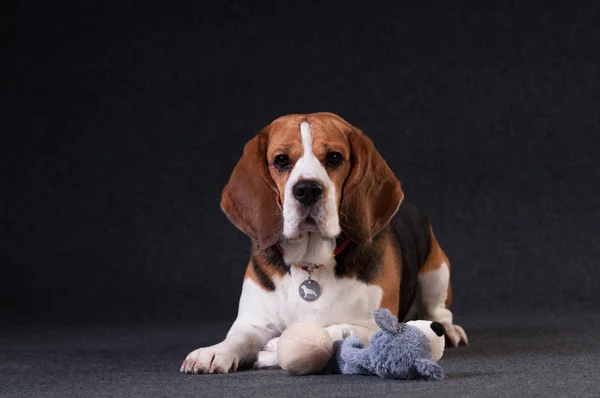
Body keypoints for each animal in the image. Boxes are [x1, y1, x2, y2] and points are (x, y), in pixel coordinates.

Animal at [180, 113, 466, 374]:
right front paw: (214, 352)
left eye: (334, 158)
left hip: (436, 272)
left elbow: (332, 329)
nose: (307, 190)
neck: (310, 263)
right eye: (281, 160)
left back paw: (449, 330)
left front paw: (277, 347)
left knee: (439, 311)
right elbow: (238, 337)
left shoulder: (374, 326)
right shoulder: (253, 322)